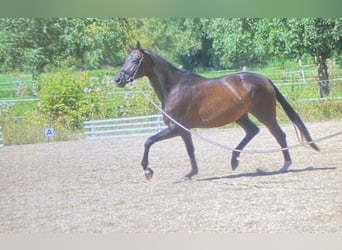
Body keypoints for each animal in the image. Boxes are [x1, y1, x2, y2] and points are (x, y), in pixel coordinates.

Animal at [115, 41, 320, 182]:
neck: (174, 88)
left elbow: (149, 140)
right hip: (241, 116)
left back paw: (285, 165)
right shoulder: (183, 130)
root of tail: (265, 79)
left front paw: (148, 171)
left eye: (135, 60)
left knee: (279, 135)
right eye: (126, 59)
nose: (118, 80)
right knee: (253, 131)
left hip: (265, 115)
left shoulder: (177, 127)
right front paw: (191, 174)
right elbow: (189, 149)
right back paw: (234, 160)